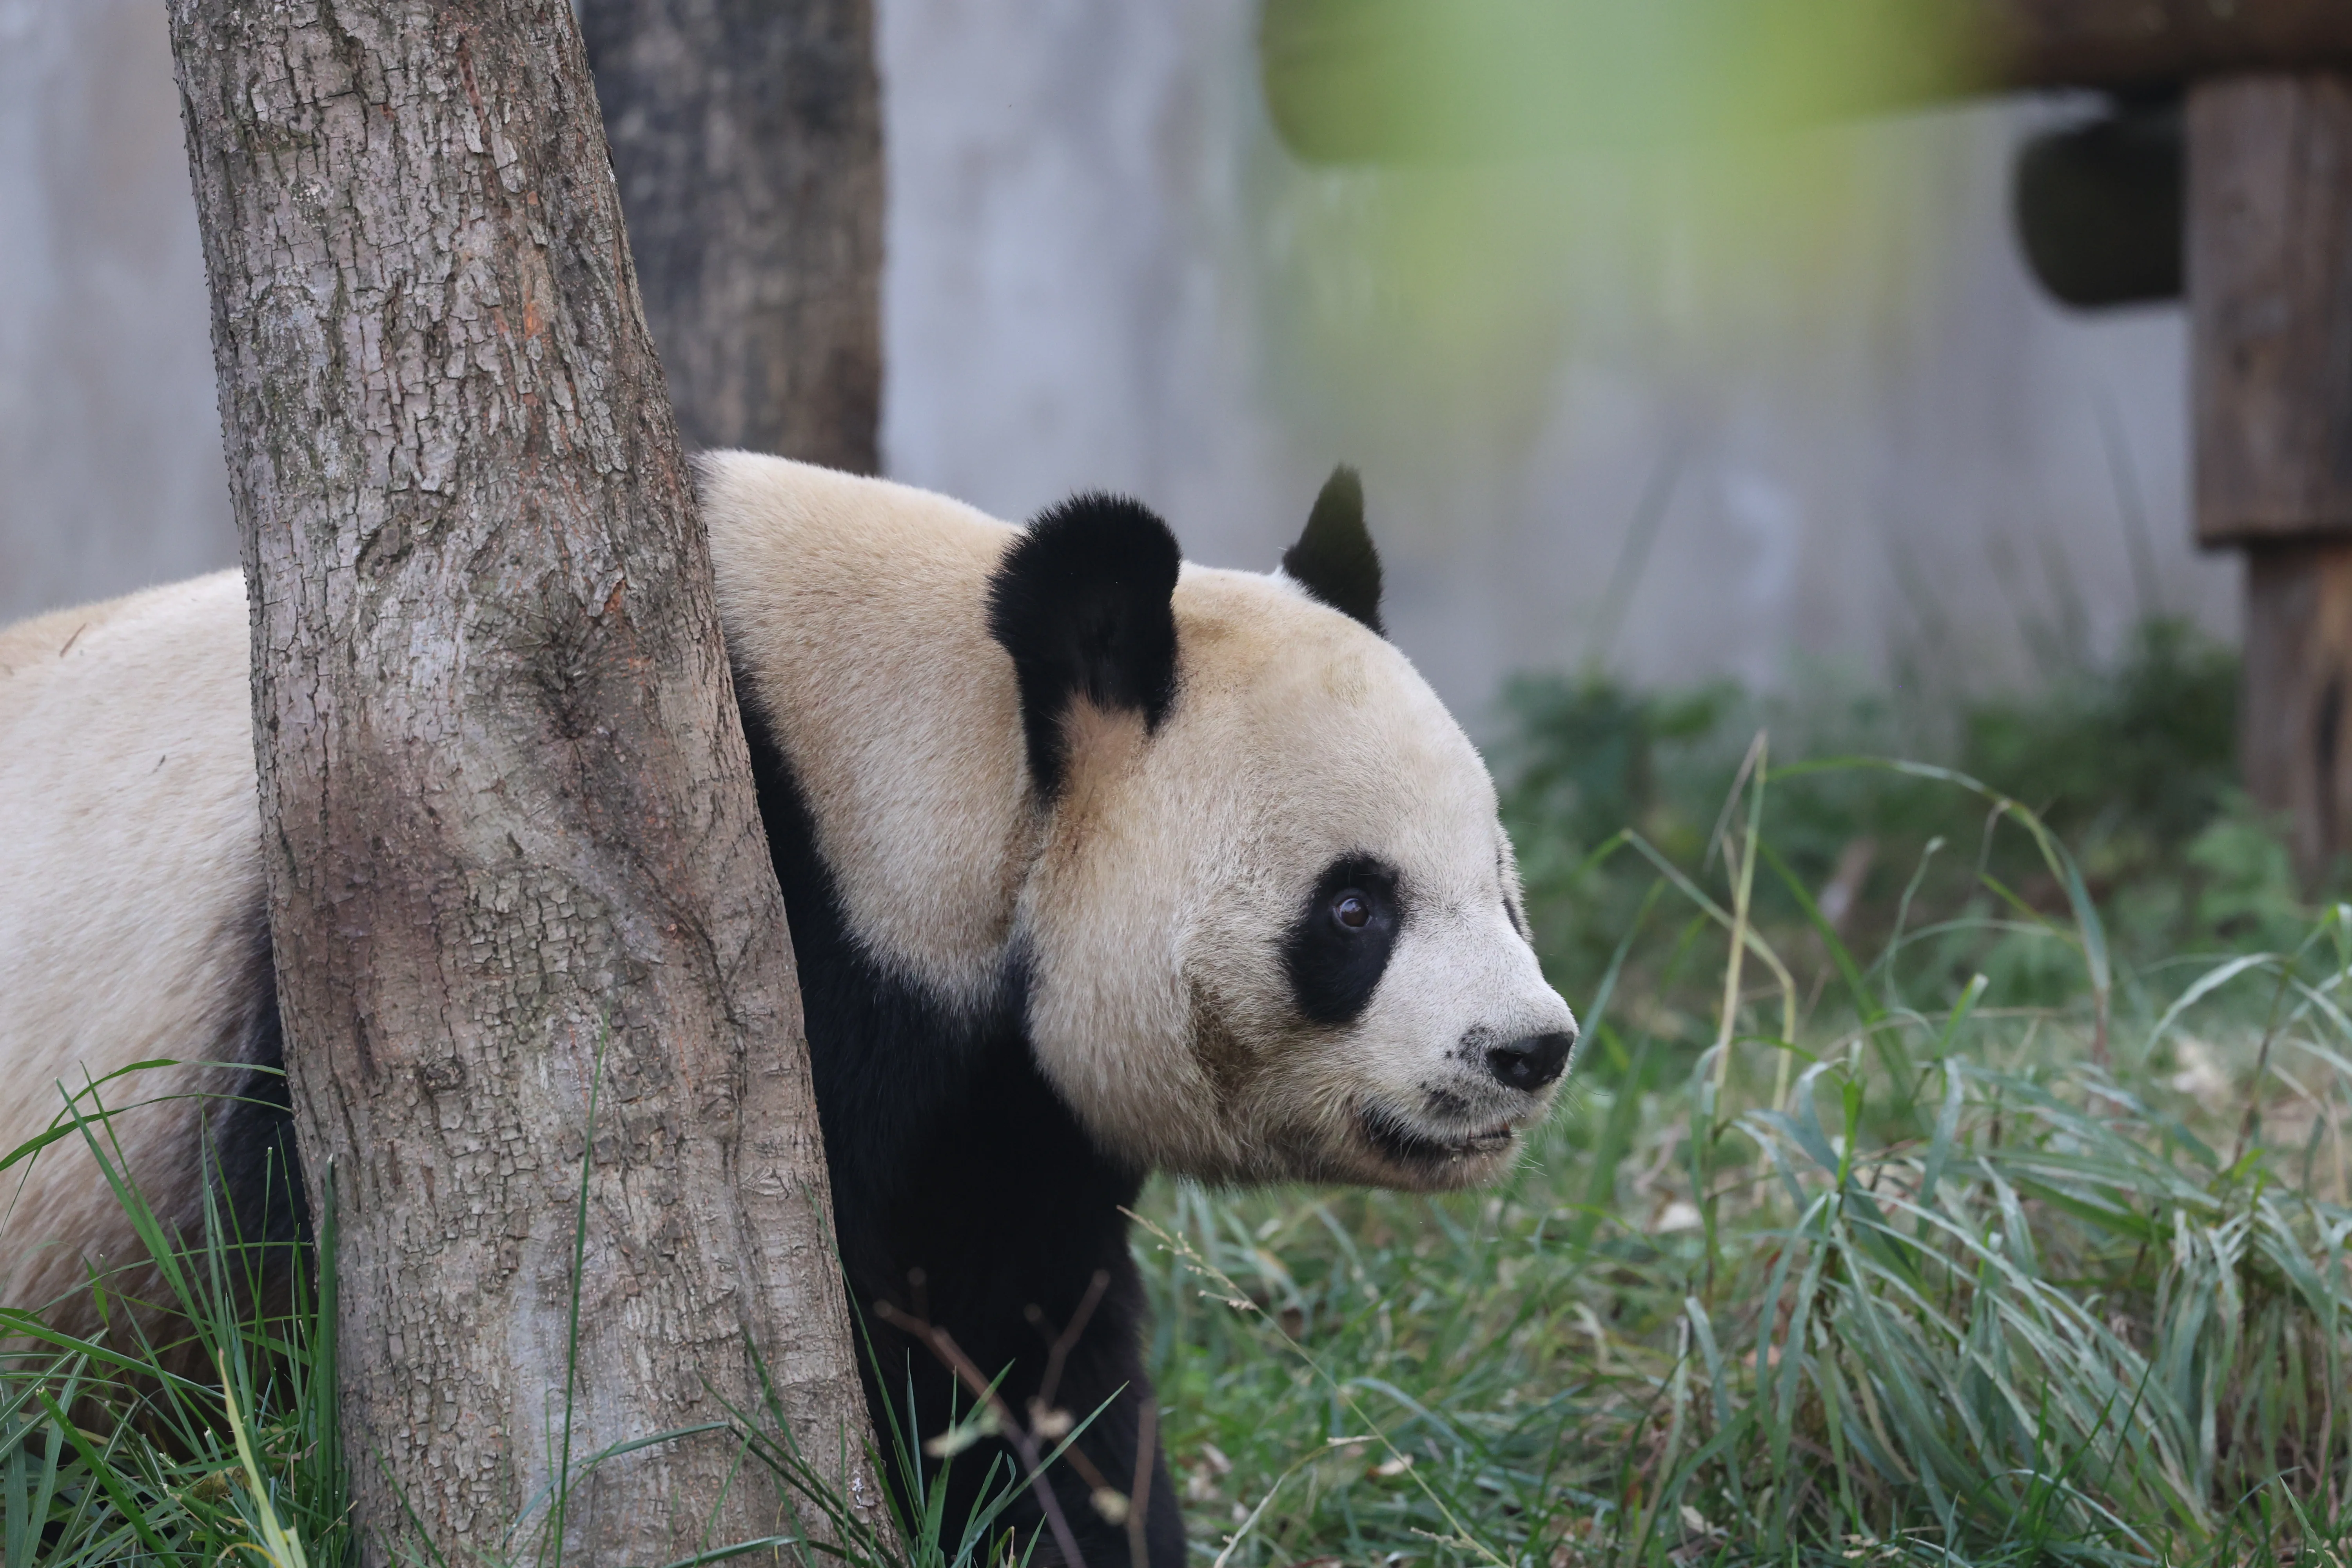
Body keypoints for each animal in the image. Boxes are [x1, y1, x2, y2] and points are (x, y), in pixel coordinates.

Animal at [0, 455, 1577, 1566]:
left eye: (1501, 883)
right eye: (1354, 909)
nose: (1529, 1049)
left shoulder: (1000, 1109)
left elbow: (1017, 1357)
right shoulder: (660, 904)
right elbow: (293, 1294)